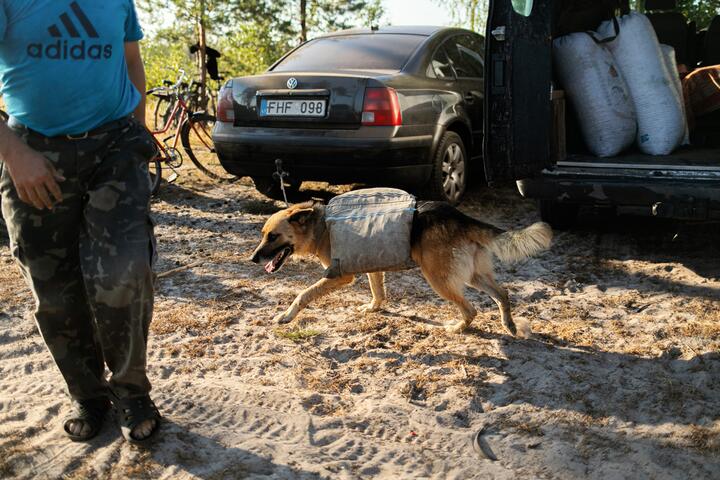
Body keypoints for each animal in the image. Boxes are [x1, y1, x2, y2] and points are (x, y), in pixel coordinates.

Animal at [250, 201, 556, 336]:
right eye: (263, 234)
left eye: (273, 236)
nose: (253, 258)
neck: (320, 226)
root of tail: (458, 216)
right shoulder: (372, 265)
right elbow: (378, 290)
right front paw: (374, 308)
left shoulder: (340, 276)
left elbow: (303, 295)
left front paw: (286, 316)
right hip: (473, 275)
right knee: (503, 293)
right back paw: (510, 325)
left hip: (439, 280)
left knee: (471, 309)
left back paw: (458, 327)